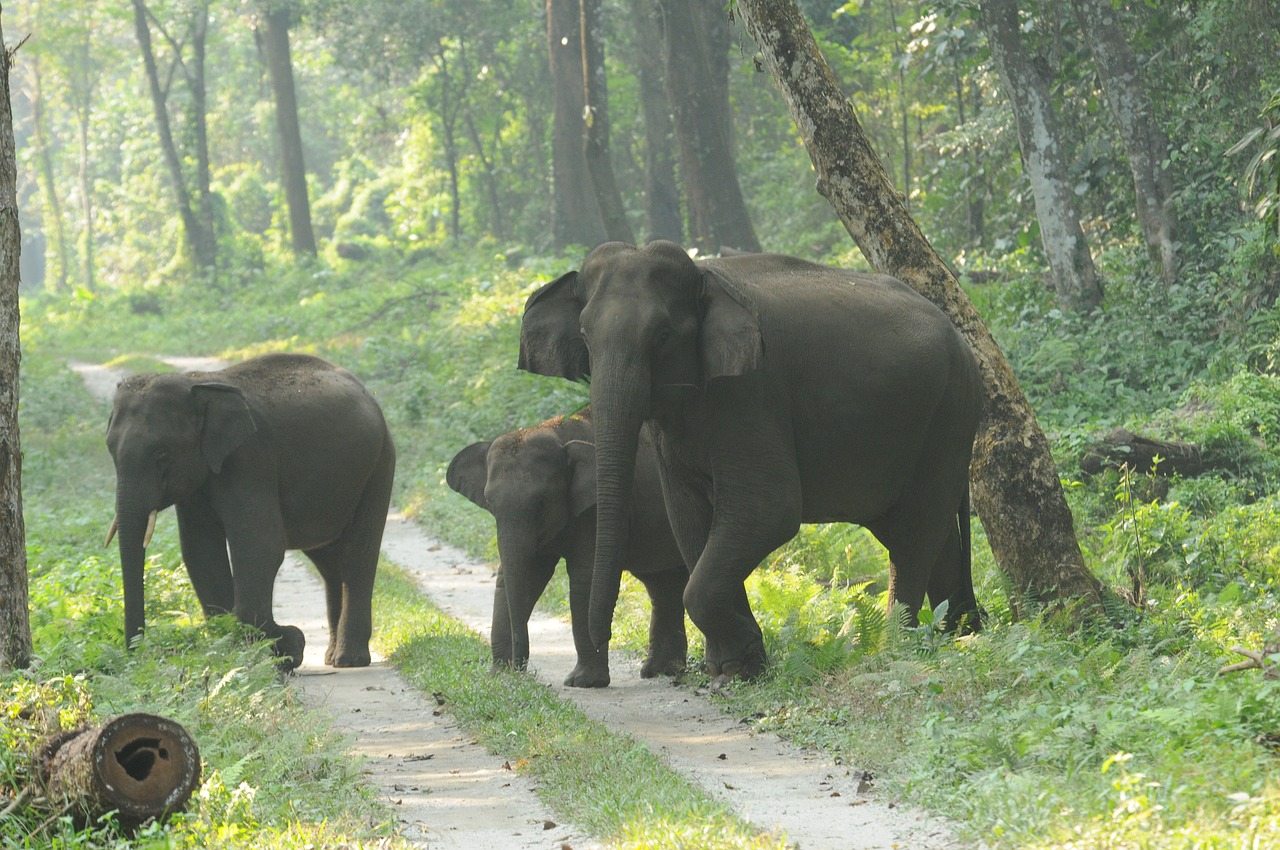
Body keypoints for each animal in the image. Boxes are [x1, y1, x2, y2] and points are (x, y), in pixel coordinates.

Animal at [104, 350, 394, 670]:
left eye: (162, 454)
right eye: (110, 450)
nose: (136, 655)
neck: (196, 384)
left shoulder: (250, 457)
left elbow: (259, 546)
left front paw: (286, 648)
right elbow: (200, 551)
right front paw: (241, 649)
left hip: (379, 465)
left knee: (358, 555)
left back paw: (348, 660)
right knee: (329, 562)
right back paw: (331, 656)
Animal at [448, 409, 691, 686]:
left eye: (541, 502)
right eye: (489, 502)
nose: (519, 669)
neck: (558, 434)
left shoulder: (594, 510)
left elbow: (584, 579)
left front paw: (584, 682)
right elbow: (528, 575)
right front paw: (499, 675)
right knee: (663, 584)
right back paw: (660, 671)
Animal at [517, 236, 977, 686]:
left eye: (663, 336)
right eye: (584, 334)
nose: (597, 657)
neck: (704, 276)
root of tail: (965, 342)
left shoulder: (751, 392)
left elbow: (768, 511)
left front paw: (742, 663)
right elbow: (688, 518)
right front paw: (734, 667)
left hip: (948, 418)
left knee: (915, 532)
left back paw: (899, 648)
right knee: (924, 533)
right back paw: (961, 634)